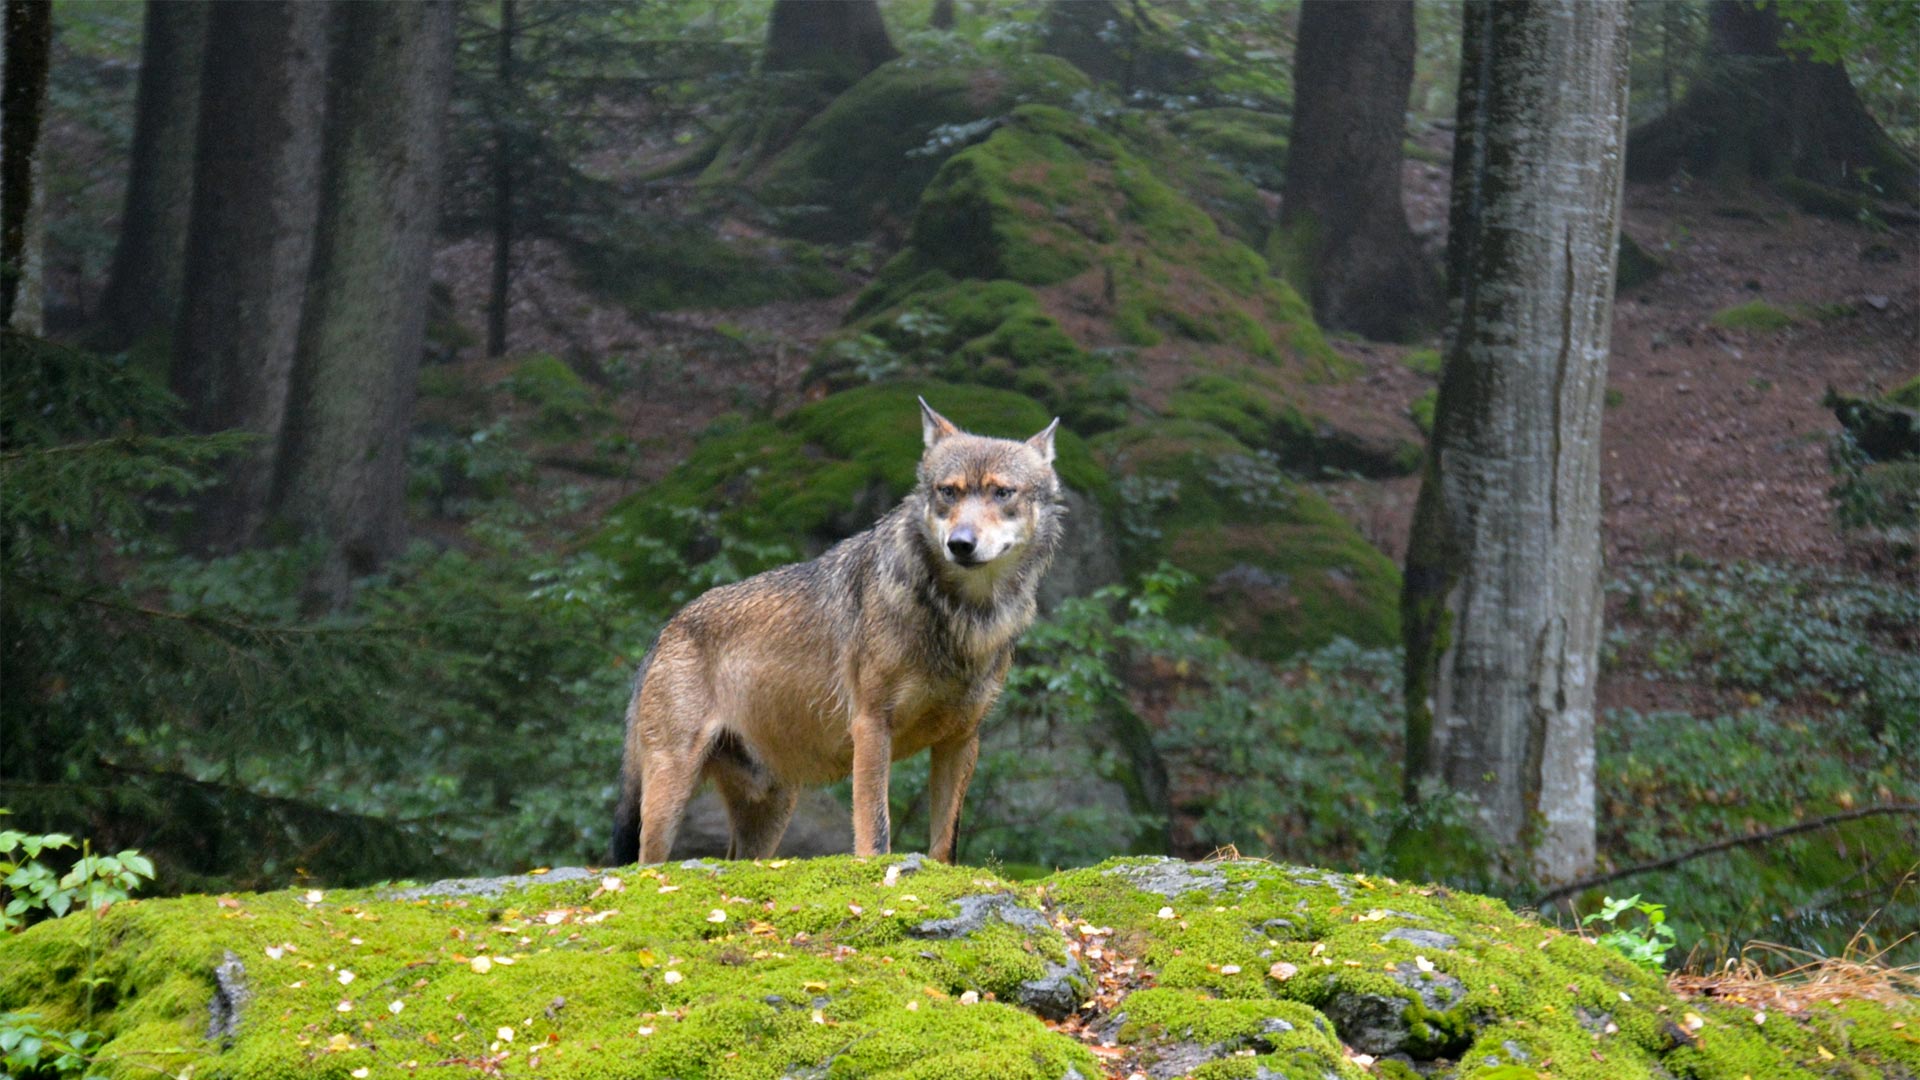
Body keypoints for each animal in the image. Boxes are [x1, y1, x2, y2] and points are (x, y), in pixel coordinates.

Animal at [609, 399, 1064, 865]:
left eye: (1002, 492)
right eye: (948, 492)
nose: (960, 543)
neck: (962, 615)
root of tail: (666, 629)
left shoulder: (961, 739)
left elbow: (945, 843)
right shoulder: (871, 726)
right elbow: (875, 828)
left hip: (769, 812)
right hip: (670, 794)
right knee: (645, 863)